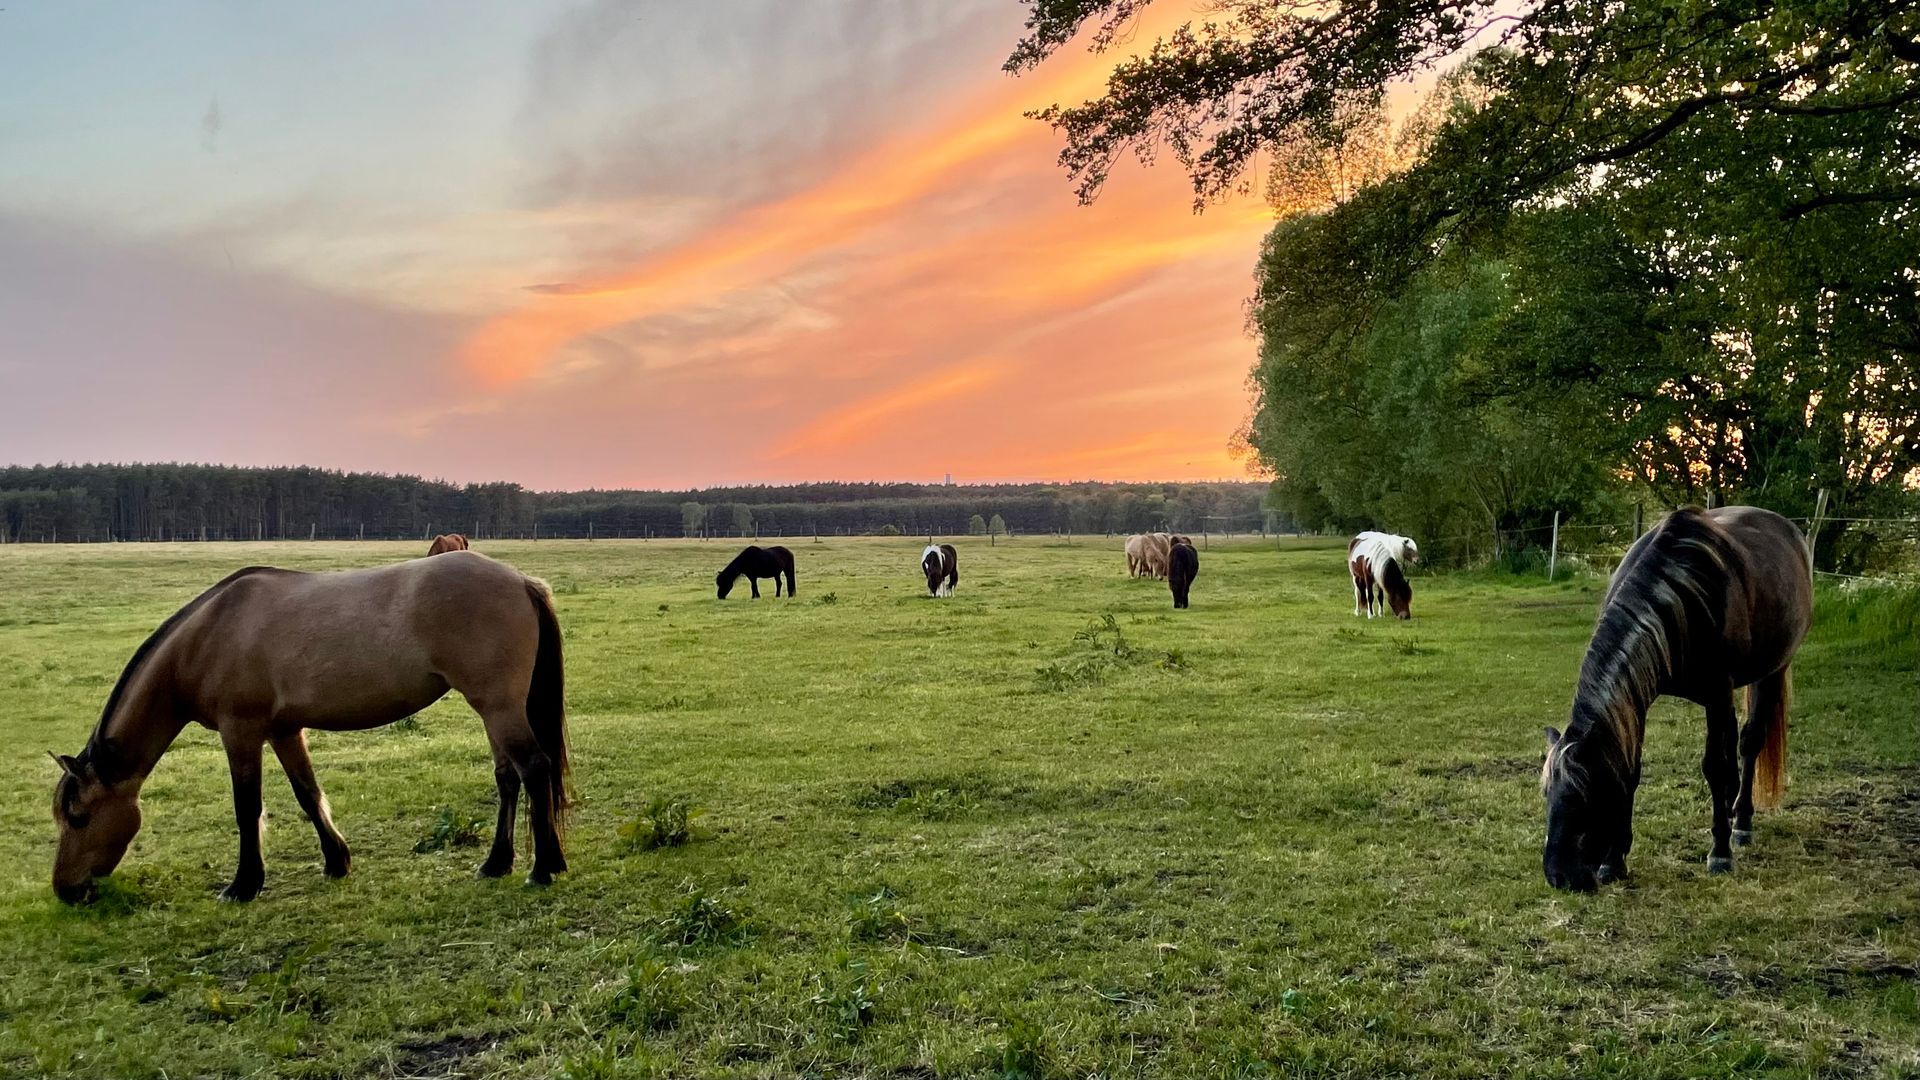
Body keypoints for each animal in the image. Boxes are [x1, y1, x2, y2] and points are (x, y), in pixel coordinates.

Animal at [49, 551, 570, 903]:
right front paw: (337, 860)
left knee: (533, 768)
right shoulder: (284, 731)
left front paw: (244, 884)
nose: (65, 890)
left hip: (498, 706)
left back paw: (544, 867)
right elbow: (308, 794)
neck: (208, 636)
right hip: (495, 709)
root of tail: (520, 580)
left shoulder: (241, 731)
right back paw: (497, 863)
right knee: (507, 778)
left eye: (79, 816)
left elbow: (247, 808)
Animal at [1541, 506, 1811, 892]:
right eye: (1547, 795)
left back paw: (1741, 822)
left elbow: (1716, 767)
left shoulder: (1717, 694)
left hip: (1772, 672)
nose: (1558, 876)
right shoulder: (1638, 698)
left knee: (1749, 743)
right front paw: (1614, 861)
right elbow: (1632, 770)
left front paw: (1720, 852)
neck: (1679, 593)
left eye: (1585, 794)